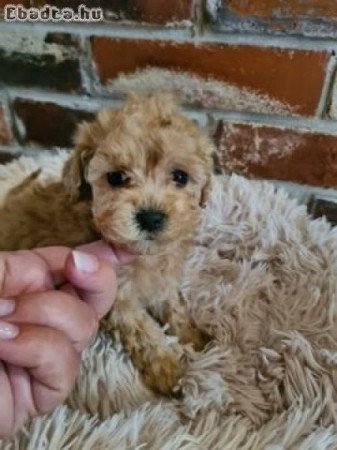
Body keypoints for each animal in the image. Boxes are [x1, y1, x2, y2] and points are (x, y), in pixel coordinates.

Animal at [0, 94, 214, 394]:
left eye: (180, 177)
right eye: (116, 178)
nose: (150, 217)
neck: (143, 255)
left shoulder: (162, 281)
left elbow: (174, 307)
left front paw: (193, 336)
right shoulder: (119, 299)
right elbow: (144, 333)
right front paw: (168, 369)